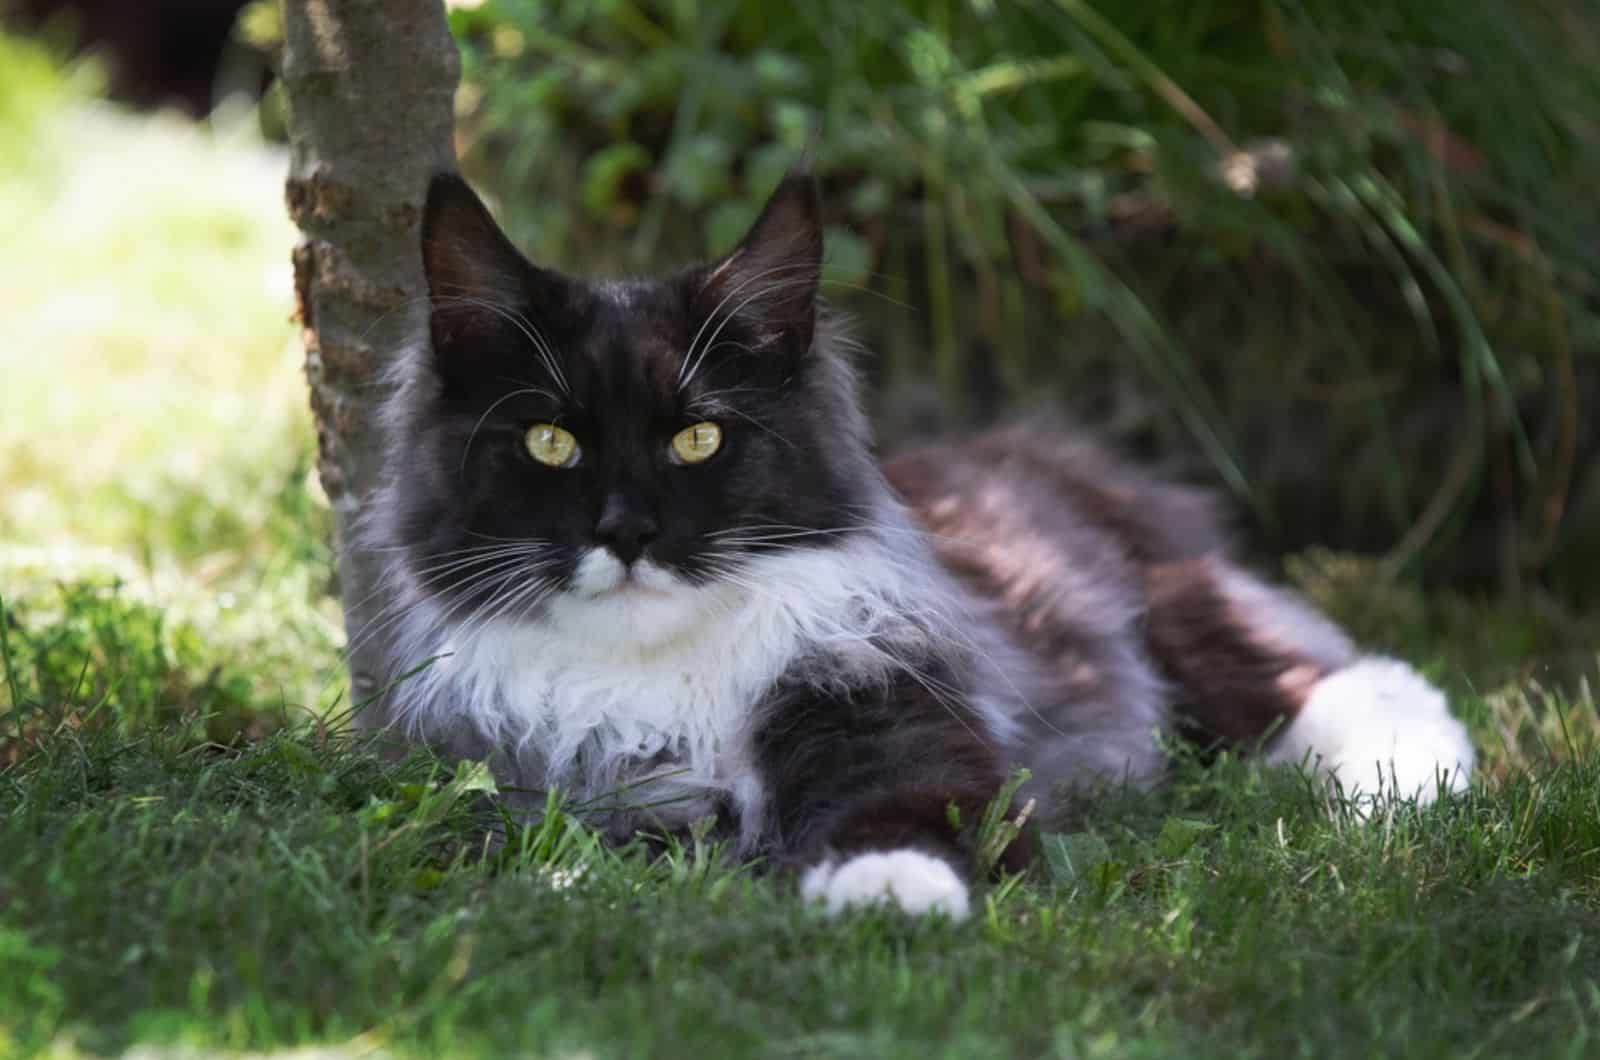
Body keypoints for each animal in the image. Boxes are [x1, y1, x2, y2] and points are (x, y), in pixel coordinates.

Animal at [360, 170, 1472, 915]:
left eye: (697, 438)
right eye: (550, 441)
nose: (627, 531)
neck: (660, 682)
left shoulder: (895, 712)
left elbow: (894, 817)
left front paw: (888, 897)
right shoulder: (549, 788)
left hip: (1167, 614)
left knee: (1343, 678)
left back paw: (1413, 789)